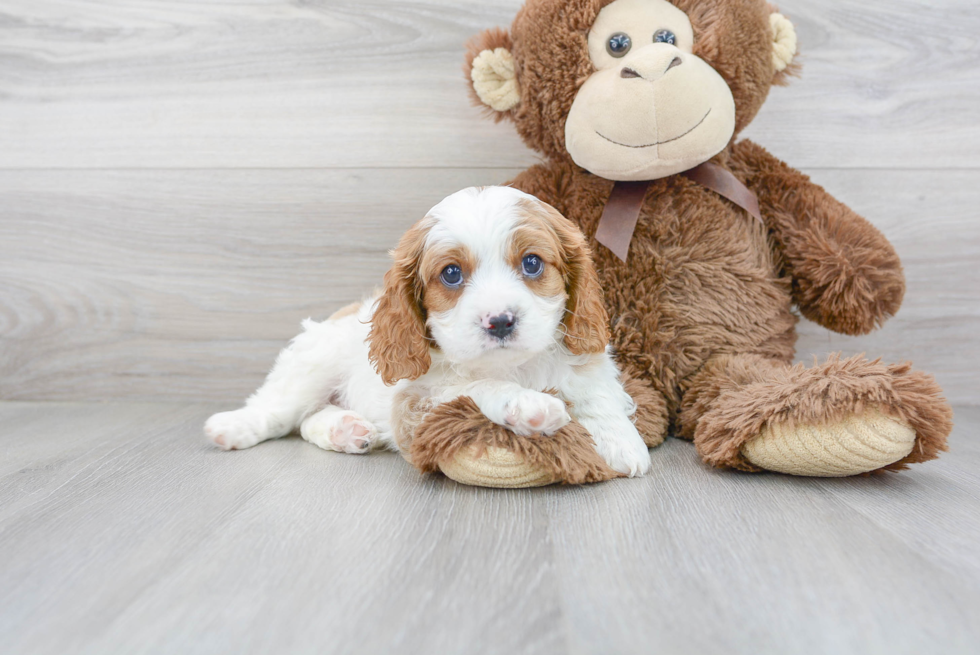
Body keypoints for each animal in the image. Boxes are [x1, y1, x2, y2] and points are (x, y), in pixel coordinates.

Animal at [205, 187, 652, 480]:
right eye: (451, 273)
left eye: (532, 263)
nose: (500, 321)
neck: (515, 366)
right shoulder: (420, 401)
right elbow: (479, 387)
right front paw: (528, 404)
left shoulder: (585, 357)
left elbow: (596, 391)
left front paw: (619, 439)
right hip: (311, 365)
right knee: (280, 412)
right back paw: (233, 427)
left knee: (309, 419)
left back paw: (346, 430)